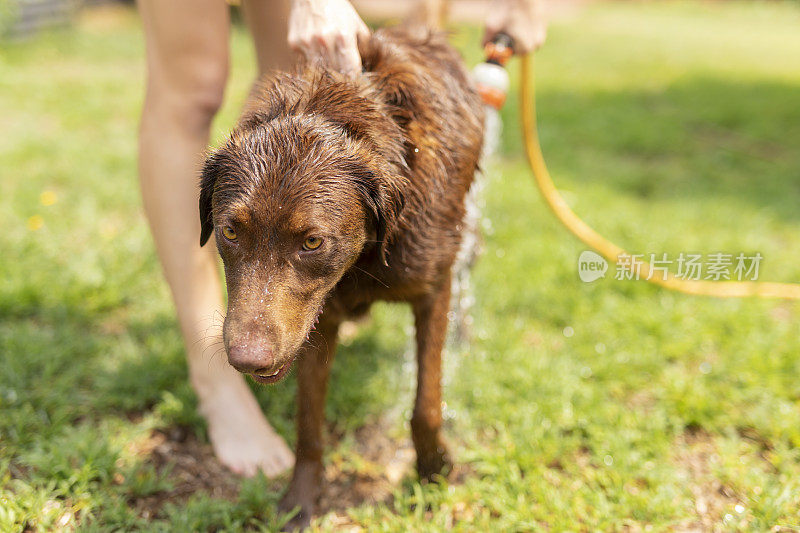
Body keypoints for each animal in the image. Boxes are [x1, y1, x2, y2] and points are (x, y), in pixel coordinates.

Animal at [198, 28, 484, 528]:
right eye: (230, 231)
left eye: (312, 242)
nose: (247, 359)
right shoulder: (318, 320)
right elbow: (309, 422)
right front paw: (300, 501)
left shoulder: (434, 289)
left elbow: (425, 405)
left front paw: (433, 471)